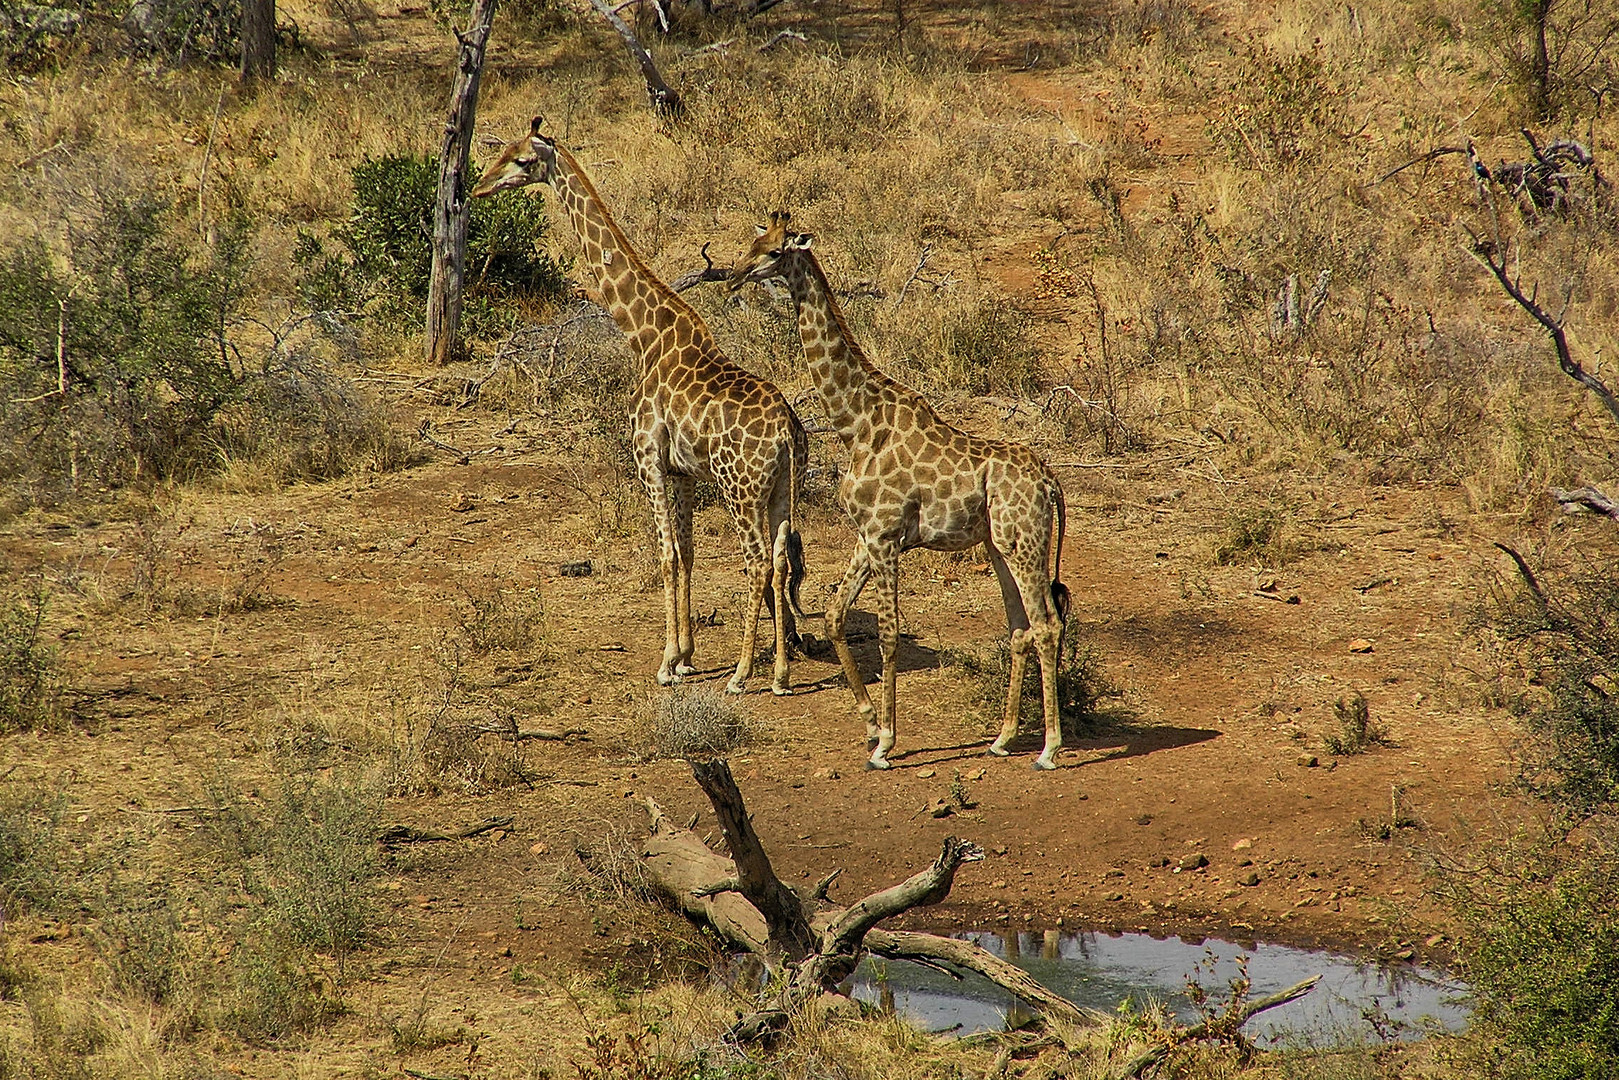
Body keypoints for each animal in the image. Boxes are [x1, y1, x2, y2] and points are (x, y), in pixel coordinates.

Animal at [728, 210, 1068, 767]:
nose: (734, 275)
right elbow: (835, 616)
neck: (856, 423)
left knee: (1047, 625)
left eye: (776, 251)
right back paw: (1002, 739)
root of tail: (1052, 482)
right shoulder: (867, 536)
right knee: (1019, 628)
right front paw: (870, 723)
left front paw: (886, 742)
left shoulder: (886, 538)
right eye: (752, 242)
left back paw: (1049, 747)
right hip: (1000, 547)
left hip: (1026, 545)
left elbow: (887, 633)